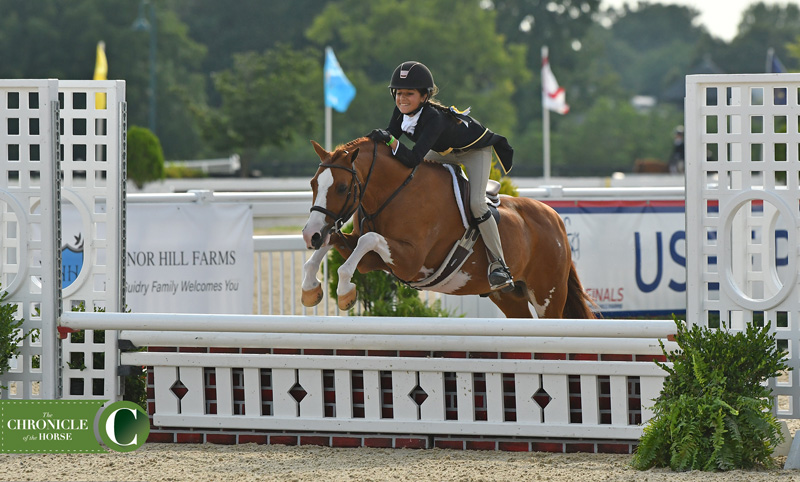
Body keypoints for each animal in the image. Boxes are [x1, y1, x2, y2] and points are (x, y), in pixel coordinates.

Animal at [300, 138, 592, 320]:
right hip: (509, 297)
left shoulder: (409, 261)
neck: (395, 192)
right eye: (313, 183)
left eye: (341, 188)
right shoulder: (372, 259)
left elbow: (367, 241)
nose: (309, 234)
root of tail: (555, 219)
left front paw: (344, 293)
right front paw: (310, 288)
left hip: (547, 297)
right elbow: (334, 241)